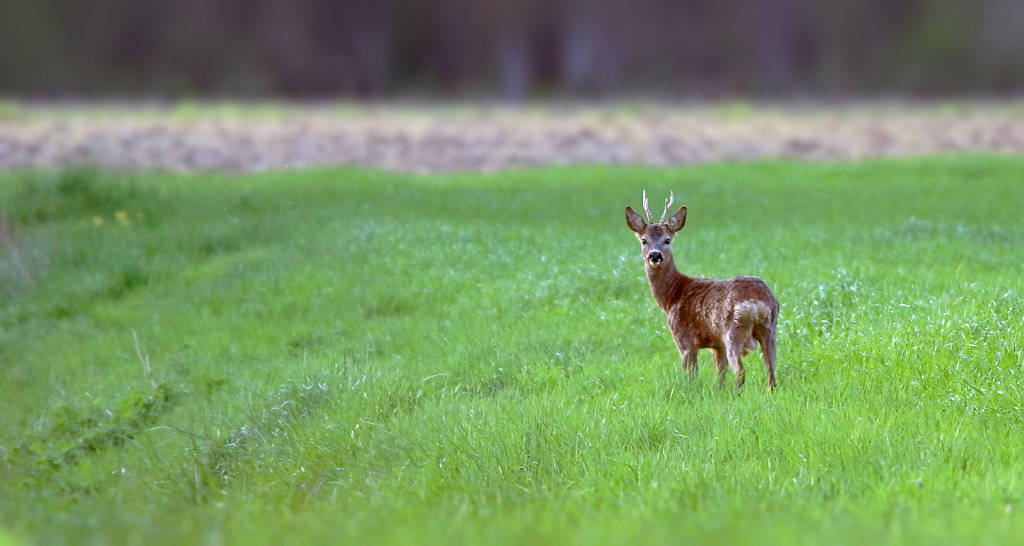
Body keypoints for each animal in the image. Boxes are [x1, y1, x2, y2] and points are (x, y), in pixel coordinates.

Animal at [618, 189, 778, 389]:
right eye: (644, 240)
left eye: (667, 240)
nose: (655, 255)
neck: (672, 297)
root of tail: (757, 303)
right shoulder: (717, 344)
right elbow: (720, 375)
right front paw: (719, 391)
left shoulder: (685, 341)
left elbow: (691, 376)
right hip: (770, 331)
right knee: (771, 371)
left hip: (733, 332)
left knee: (741, 372)